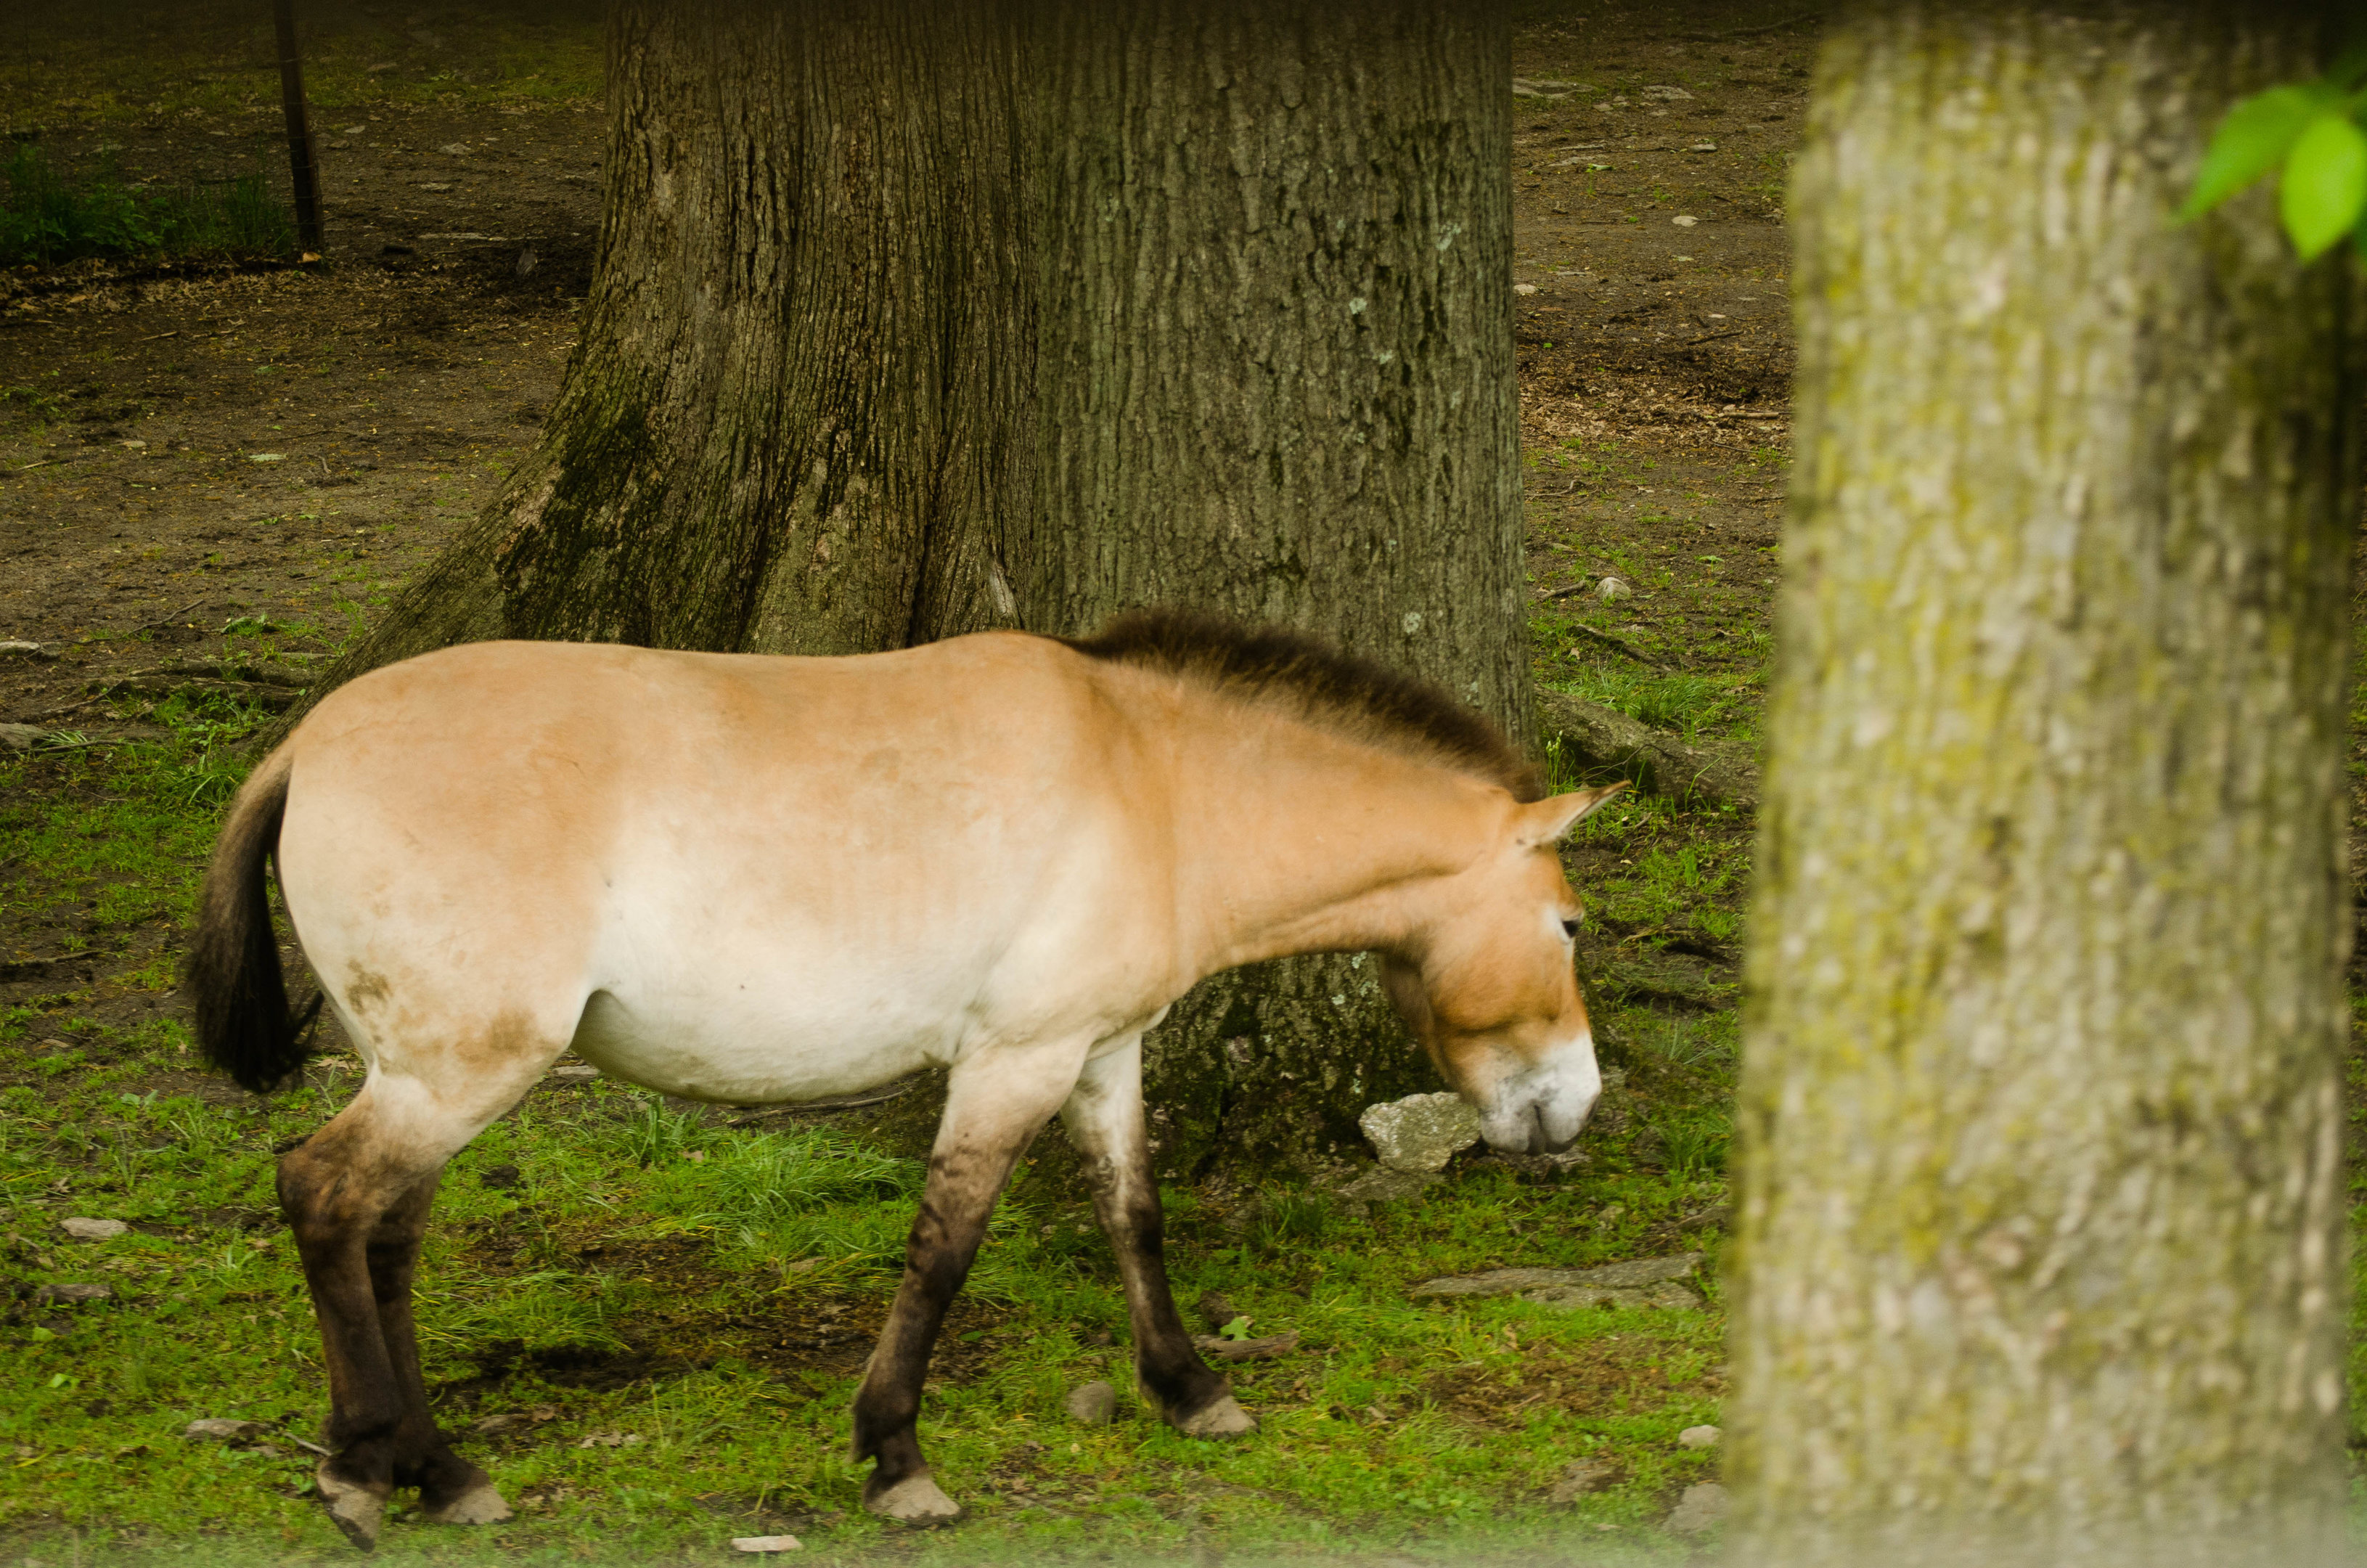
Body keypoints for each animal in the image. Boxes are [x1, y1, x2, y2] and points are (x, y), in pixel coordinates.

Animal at [185, 609, 1621, 1547]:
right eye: (1567, 926)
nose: (1573, 1107)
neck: (1155, 783)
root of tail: (311, 741)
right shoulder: (1010, 1063)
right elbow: (946, 1249)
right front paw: (895, 1458)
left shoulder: (1101, 1052)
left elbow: (1132, 1214)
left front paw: (1191, 1391)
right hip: (457, 1074)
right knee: (323, 1198)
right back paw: (363, 1470)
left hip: (427, 1074)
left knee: (385, 1240)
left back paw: (437, 1470)